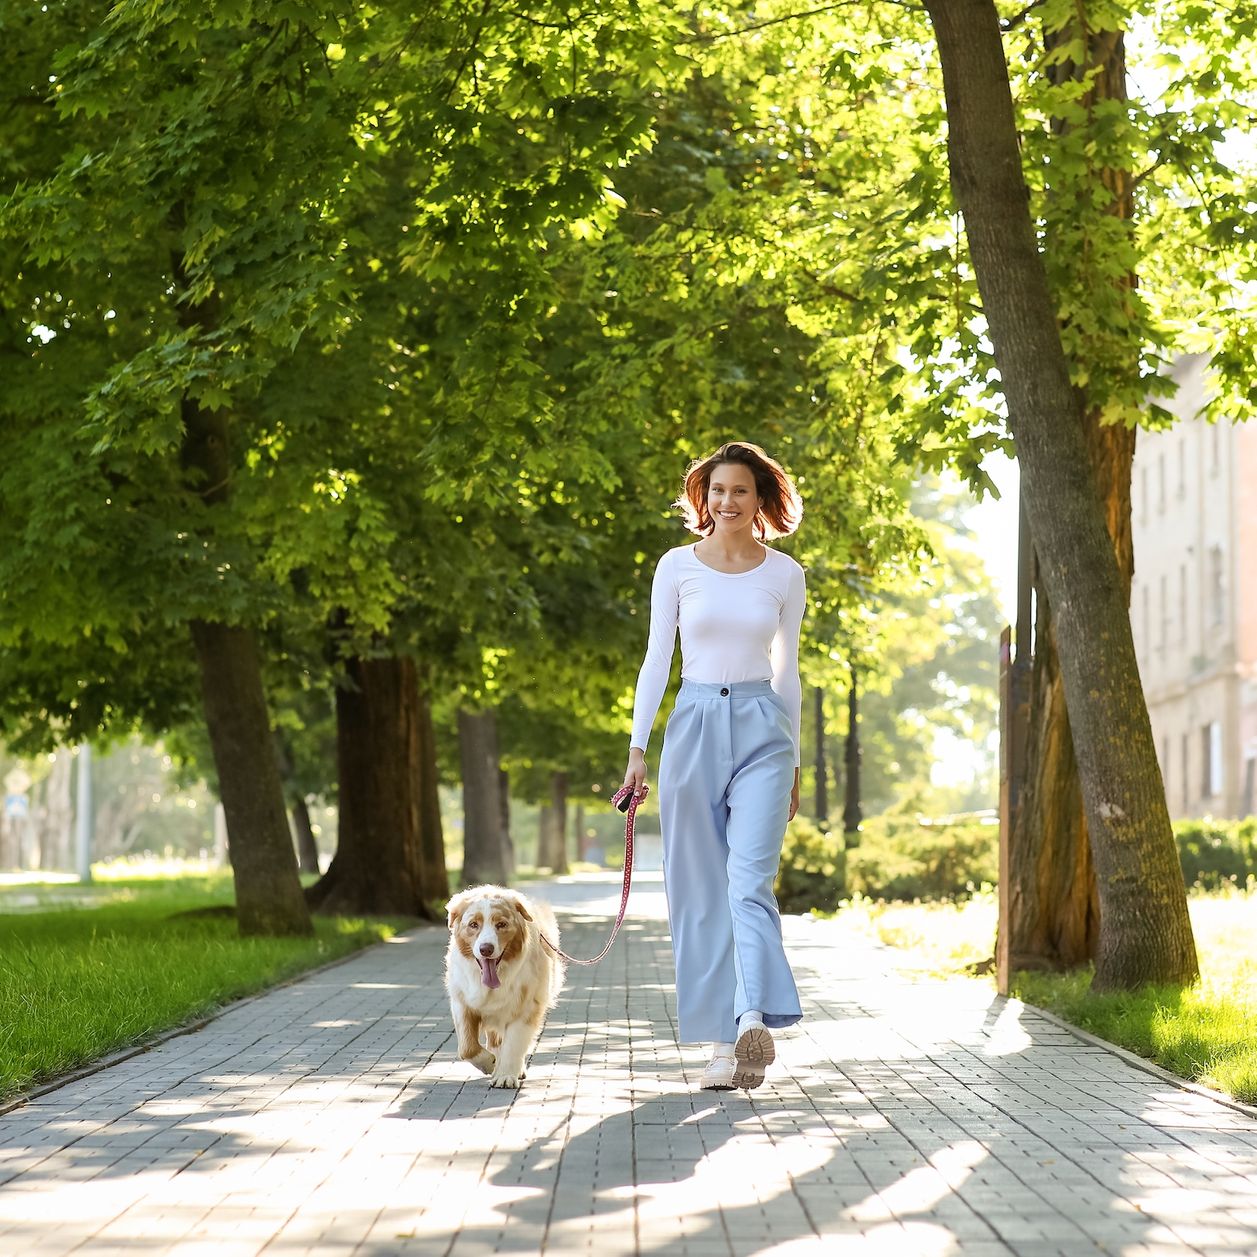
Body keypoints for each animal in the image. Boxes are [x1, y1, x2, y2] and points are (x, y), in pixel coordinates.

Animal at [442, 884, 560, 1091]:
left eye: (501, 925)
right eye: (473, 924)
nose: (486, 949)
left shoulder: (526, 1007)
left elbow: (514, 1045)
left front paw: (505, 1076)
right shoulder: (462, 1003)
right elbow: (467, 1048)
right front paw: (490, 1063)